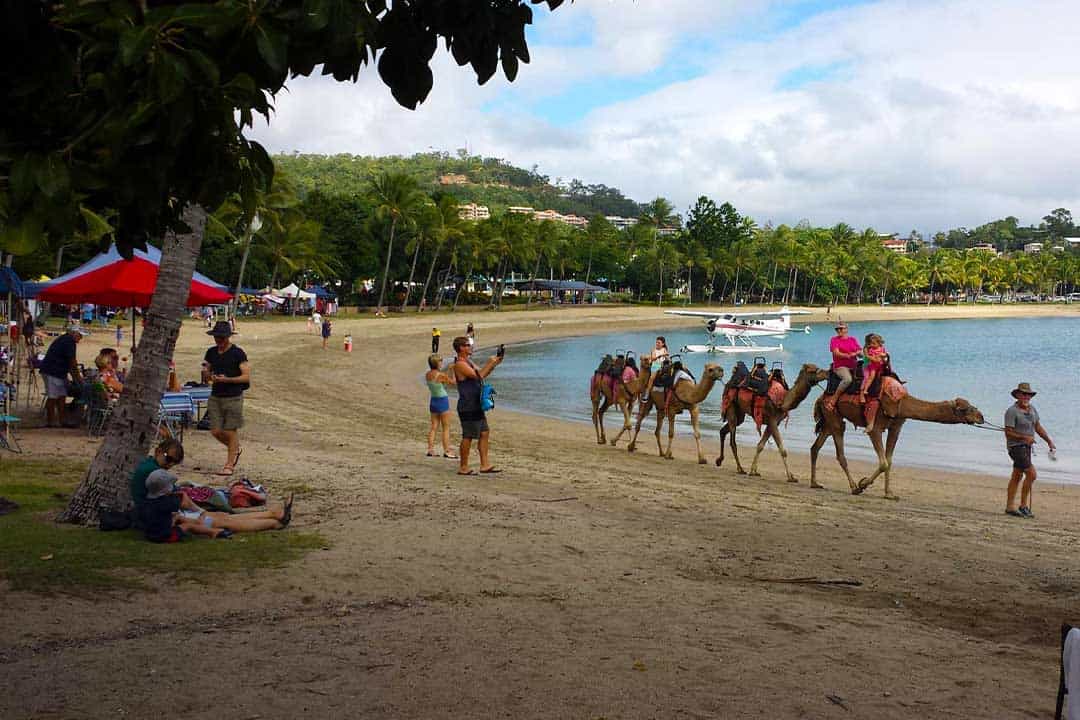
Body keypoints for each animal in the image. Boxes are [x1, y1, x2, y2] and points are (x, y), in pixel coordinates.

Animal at [812, 382, 989, 500]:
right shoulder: (875, 428)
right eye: (966, 409)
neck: (902, 404)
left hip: (829, 420)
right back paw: (854, 487)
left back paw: (815, 483)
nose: (981, 416)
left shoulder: (896, 427)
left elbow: (889, 461)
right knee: (840, 453)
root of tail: (821, 398)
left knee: (815, 447)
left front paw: (889, 494)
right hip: (833, 415)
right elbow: (883, 462)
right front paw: (863, 484)